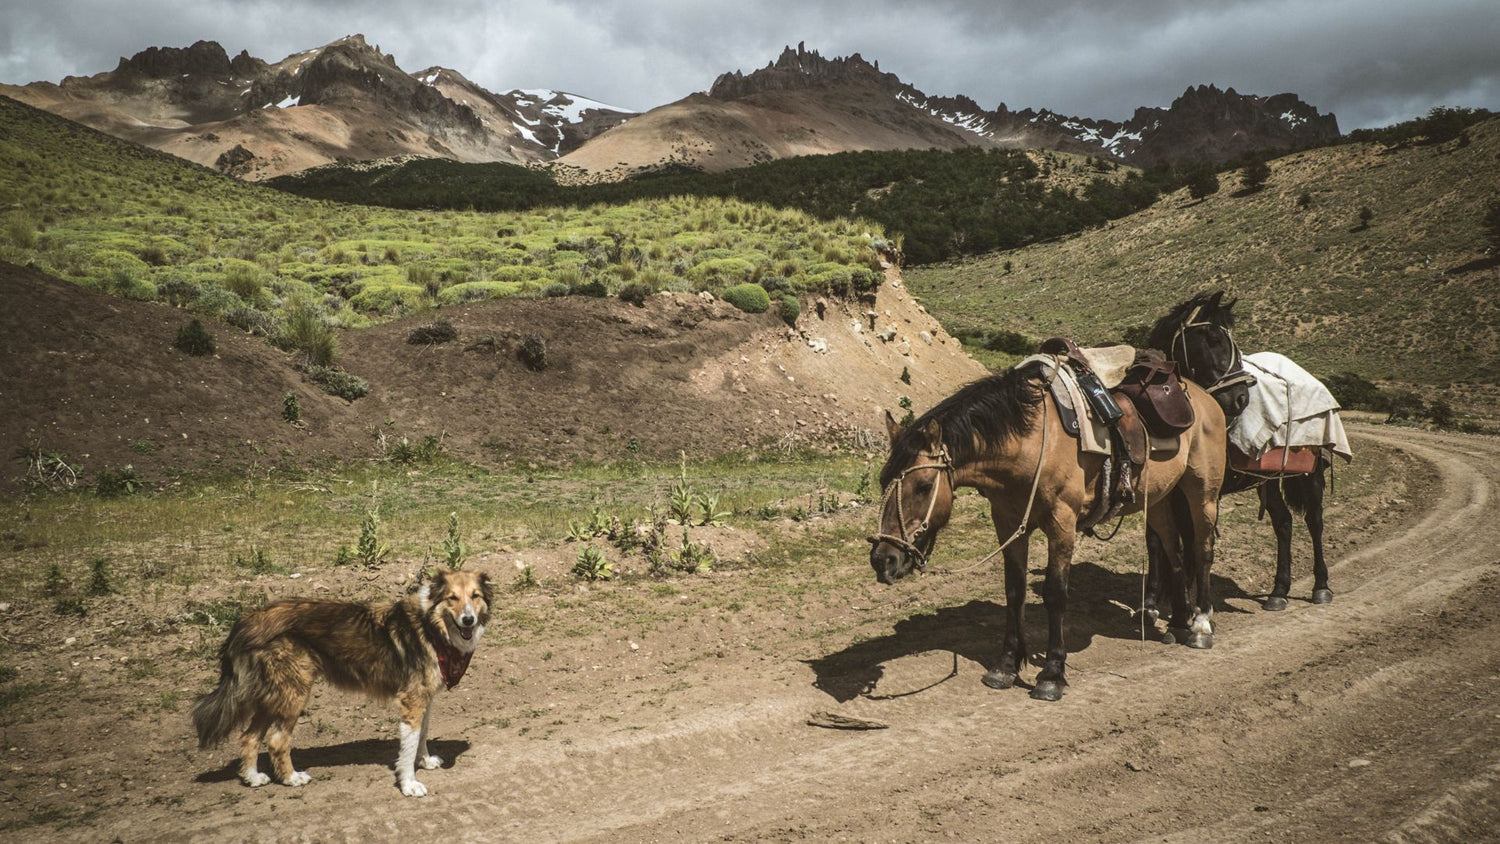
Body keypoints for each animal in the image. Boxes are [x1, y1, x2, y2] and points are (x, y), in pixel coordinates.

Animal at [193, 566, 492, 797]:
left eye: (475, 596)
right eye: (452, 598)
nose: (468, 619)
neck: (431, 626)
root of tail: (250, 619)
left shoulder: (425, 698)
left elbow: (422, 736)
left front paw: (425, 761)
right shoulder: (412, 700)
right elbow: (407, 747)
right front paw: (409, 784)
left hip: (274, 695)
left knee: (249, 736)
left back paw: (253, 777)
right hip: (293, 693)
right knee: (277, 741)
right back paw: (291, 778)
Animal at [876, 359, 1224, 704]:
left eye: (923, 486)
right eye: (883, 481)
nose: (883, 560)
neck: (1027, 442)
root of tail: (1203, 397)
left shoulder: (1062, 523)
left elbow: (1055, 594)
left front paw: (1052, 674)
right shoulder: (1008, 523)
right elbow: (1013, 591)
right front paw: (1006, 664)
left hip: (1202, 494)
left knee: (1202, 551)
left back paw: (1200, 626)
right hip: (1161, 499)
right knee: (1174, 551)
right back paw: (1178, 621)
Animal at [1146, 290, 1338, 614]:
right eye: (1212, 337)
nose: (1240, 398)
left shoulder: (1201, 492)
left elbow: (1192, 540)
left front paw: (1190, 602)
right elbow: (1156, 540)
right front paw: (1153, 601)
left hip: (1308, 476)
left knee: (1315, 522)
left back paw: (1321, 587)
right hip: (1269, 480)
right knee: (1284, 523)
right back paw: (1278, 591)